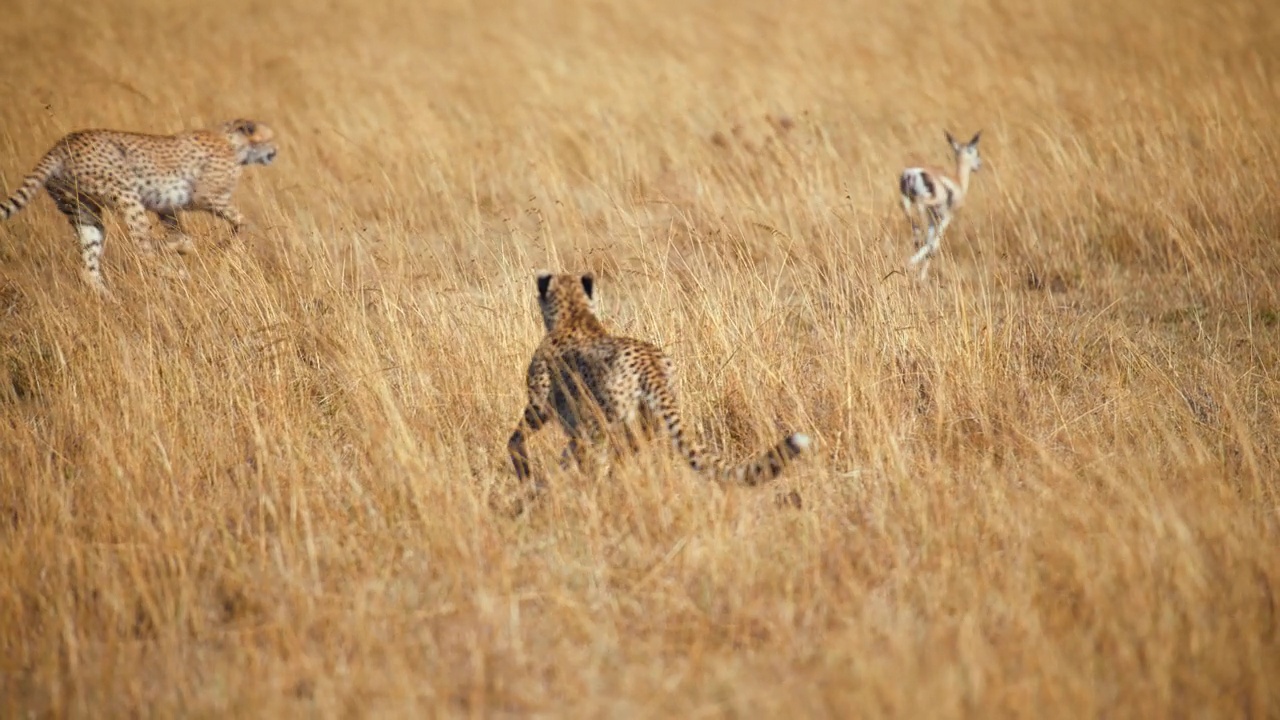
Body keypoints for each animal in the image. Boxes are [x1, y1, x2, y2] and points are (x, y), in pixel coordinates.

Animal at [0, 117, 279, 292]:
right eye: (269, 138)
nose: (275, 151)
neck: (232, 141)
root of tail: (61, 144)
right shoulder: (205, 196)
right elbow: (242, 221)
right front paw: (221, 244)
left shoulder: (166, 207)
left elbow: (181, 234)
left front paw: (183, 246)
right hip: (126, 195)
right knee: (142, 253)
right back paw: (176, 273)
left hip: (83, 211)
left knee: (89, 270)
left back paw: (111, 301)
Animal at [506, 270, 814, 491]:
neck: (574, 314)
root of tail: (650, 363)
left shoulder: (540, 404)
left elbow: (516, 439)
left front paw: (527, 474)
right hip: (645, 421)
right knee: (626, 453)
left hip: (606, 420)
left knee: (605, 453)